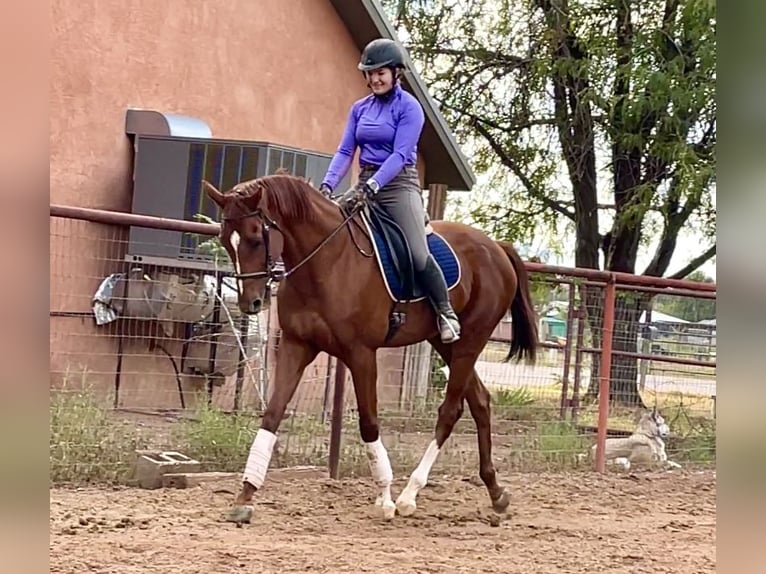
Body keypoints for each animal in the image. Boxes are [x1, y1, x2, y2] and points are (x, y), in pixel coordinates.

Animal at [202, 173, 540, 524]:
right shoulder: (297, 347)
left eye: (256, 236)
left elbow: (369, 424)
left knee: (450, 411)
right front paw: (245, 496)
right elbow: (271, 416)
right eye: (226, 240)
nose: (250, 303)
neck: (327, 260)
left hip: (470, 342)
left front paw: (386, 499)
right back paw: (496, 493)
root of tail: (497, 248)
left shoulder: (361, 353)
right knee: (480, 402)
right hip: (448, 343)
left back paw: (409, 495)